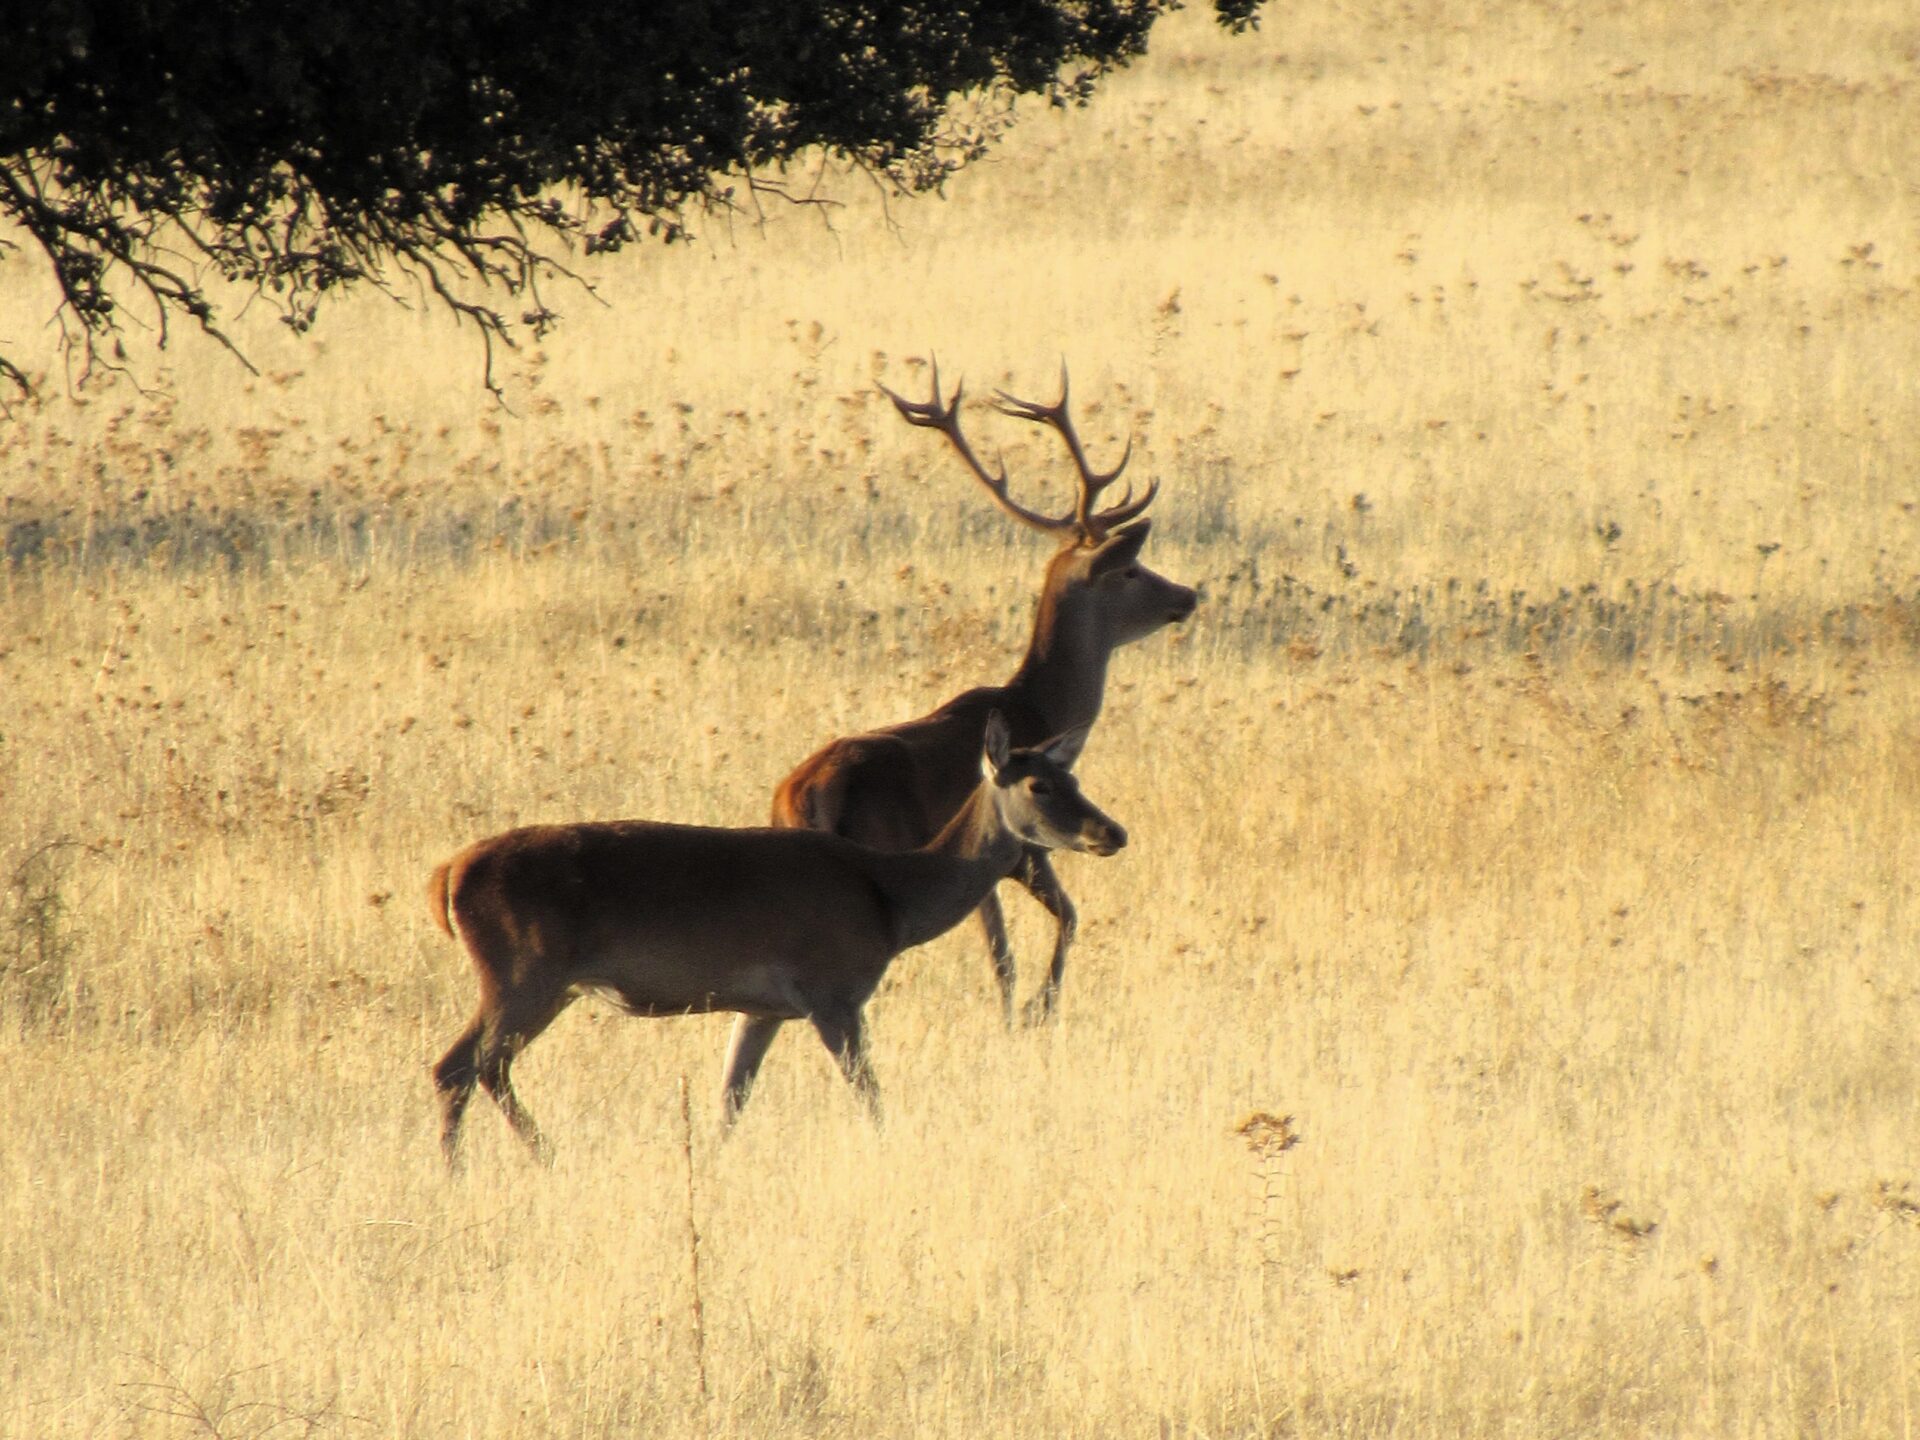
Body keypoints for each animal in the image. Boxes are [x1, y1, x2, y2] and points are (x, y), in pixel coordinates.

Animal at [428, 712, 1125, 1169]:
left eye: (1076, 778)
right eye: (1039, 785)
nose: (1112, 832)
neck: (891, 903)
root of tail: (447, 878)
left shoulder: (762, 1008)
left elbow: (730, 1100)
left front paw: (710, 1165)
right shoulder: (833, 990)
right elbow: (869, 1093)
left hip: (544, 982)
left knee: (474, 1066)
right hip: (524, 971)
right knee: (463, 1065)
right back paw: (489, 1167)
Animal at [769, 361, 1195, 1035]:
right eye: (1132, 571)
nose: (1188, 595)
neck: (1039, 706)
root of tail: (802, 793)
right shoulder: (1024, 847)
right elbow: (1049, 928)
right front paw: (1037, 1013)